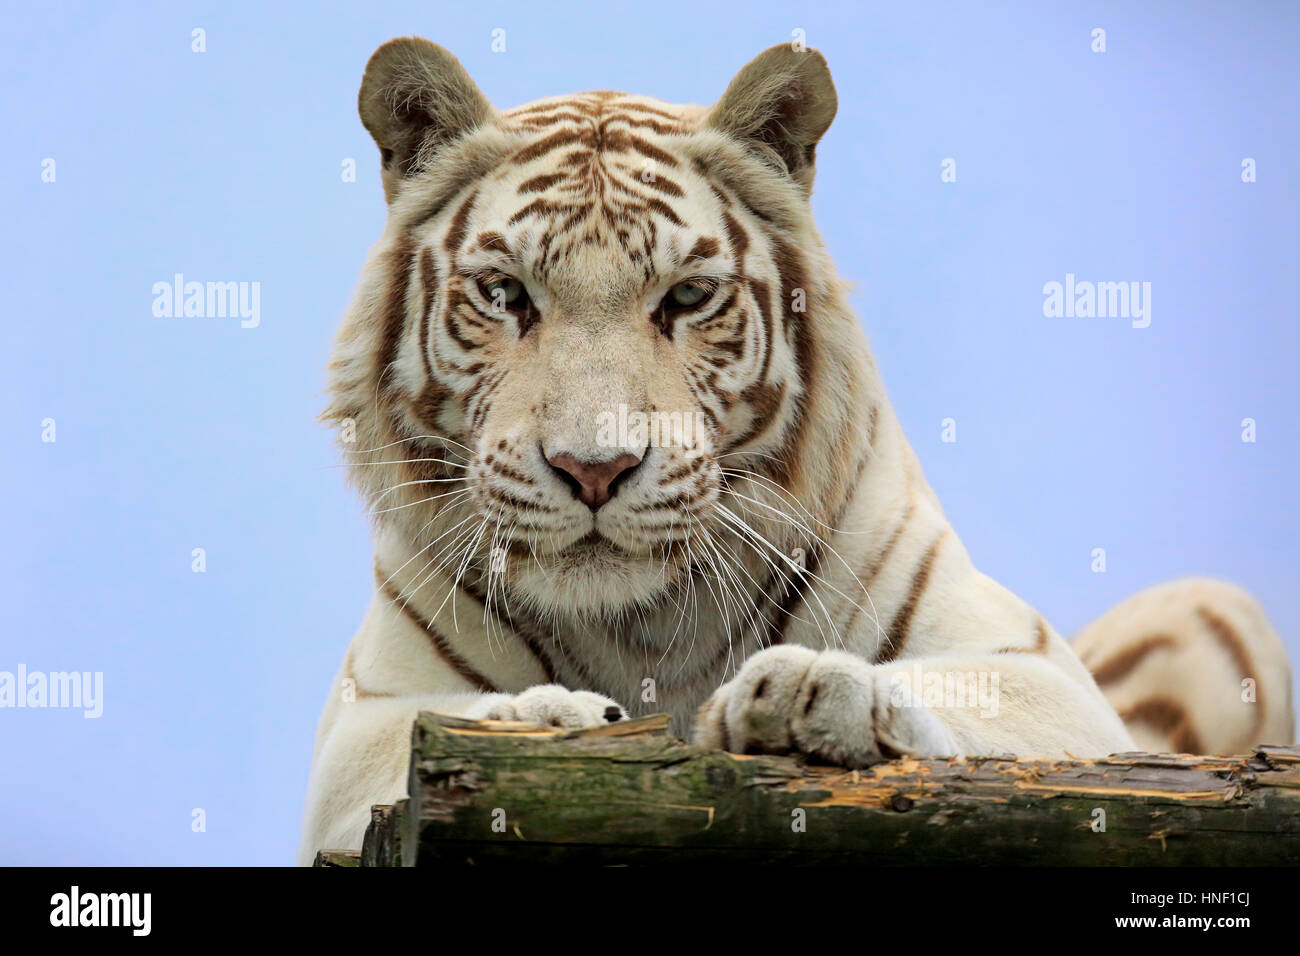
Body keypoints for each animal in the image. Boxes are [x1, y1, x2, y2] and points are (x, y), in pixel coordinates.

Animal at [299, 37, 1294, 863]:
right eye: (505, 294)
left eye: (687, 296)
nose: (595, 470)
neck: (639, 625)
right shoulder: (362, 730)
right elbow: (441, 723)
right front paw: (551, 713)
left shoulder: (1043, 674)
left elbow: (978, 708)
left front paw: (818, 694)